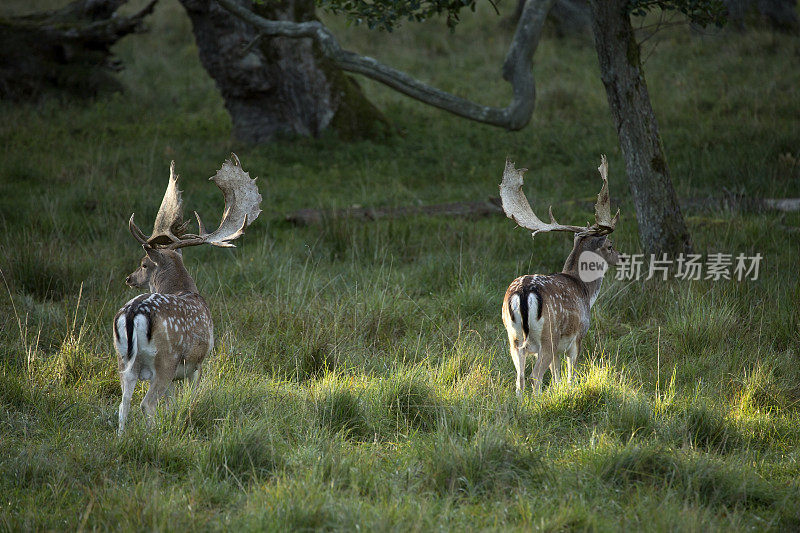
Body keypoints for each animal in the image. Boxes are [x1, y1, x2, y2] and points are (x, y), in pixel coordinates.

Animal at [112, 154, 260, 432]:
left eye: (143, 264)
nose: (129, 278)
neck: (185, 289)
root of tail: (133, 313)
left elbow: (171, 403)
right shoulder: (197, 363)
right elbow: (190, 396)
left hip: (123, 360)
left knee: (123, 403)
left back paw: (122, 436)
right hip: (165, 359)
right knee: (147, 403)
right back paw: (153, 435)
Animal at [500, 155, 624, 394]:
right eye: (610, 246)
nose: (622, 258)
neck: (585, 292)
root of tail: (523, 292)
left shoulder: (558, 348)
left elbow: (557, 377)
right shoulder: (577, 336)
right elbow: (569, 375)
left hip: (512, 338)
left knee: (519, 379)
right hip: (548, 336)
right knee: (535, 376)